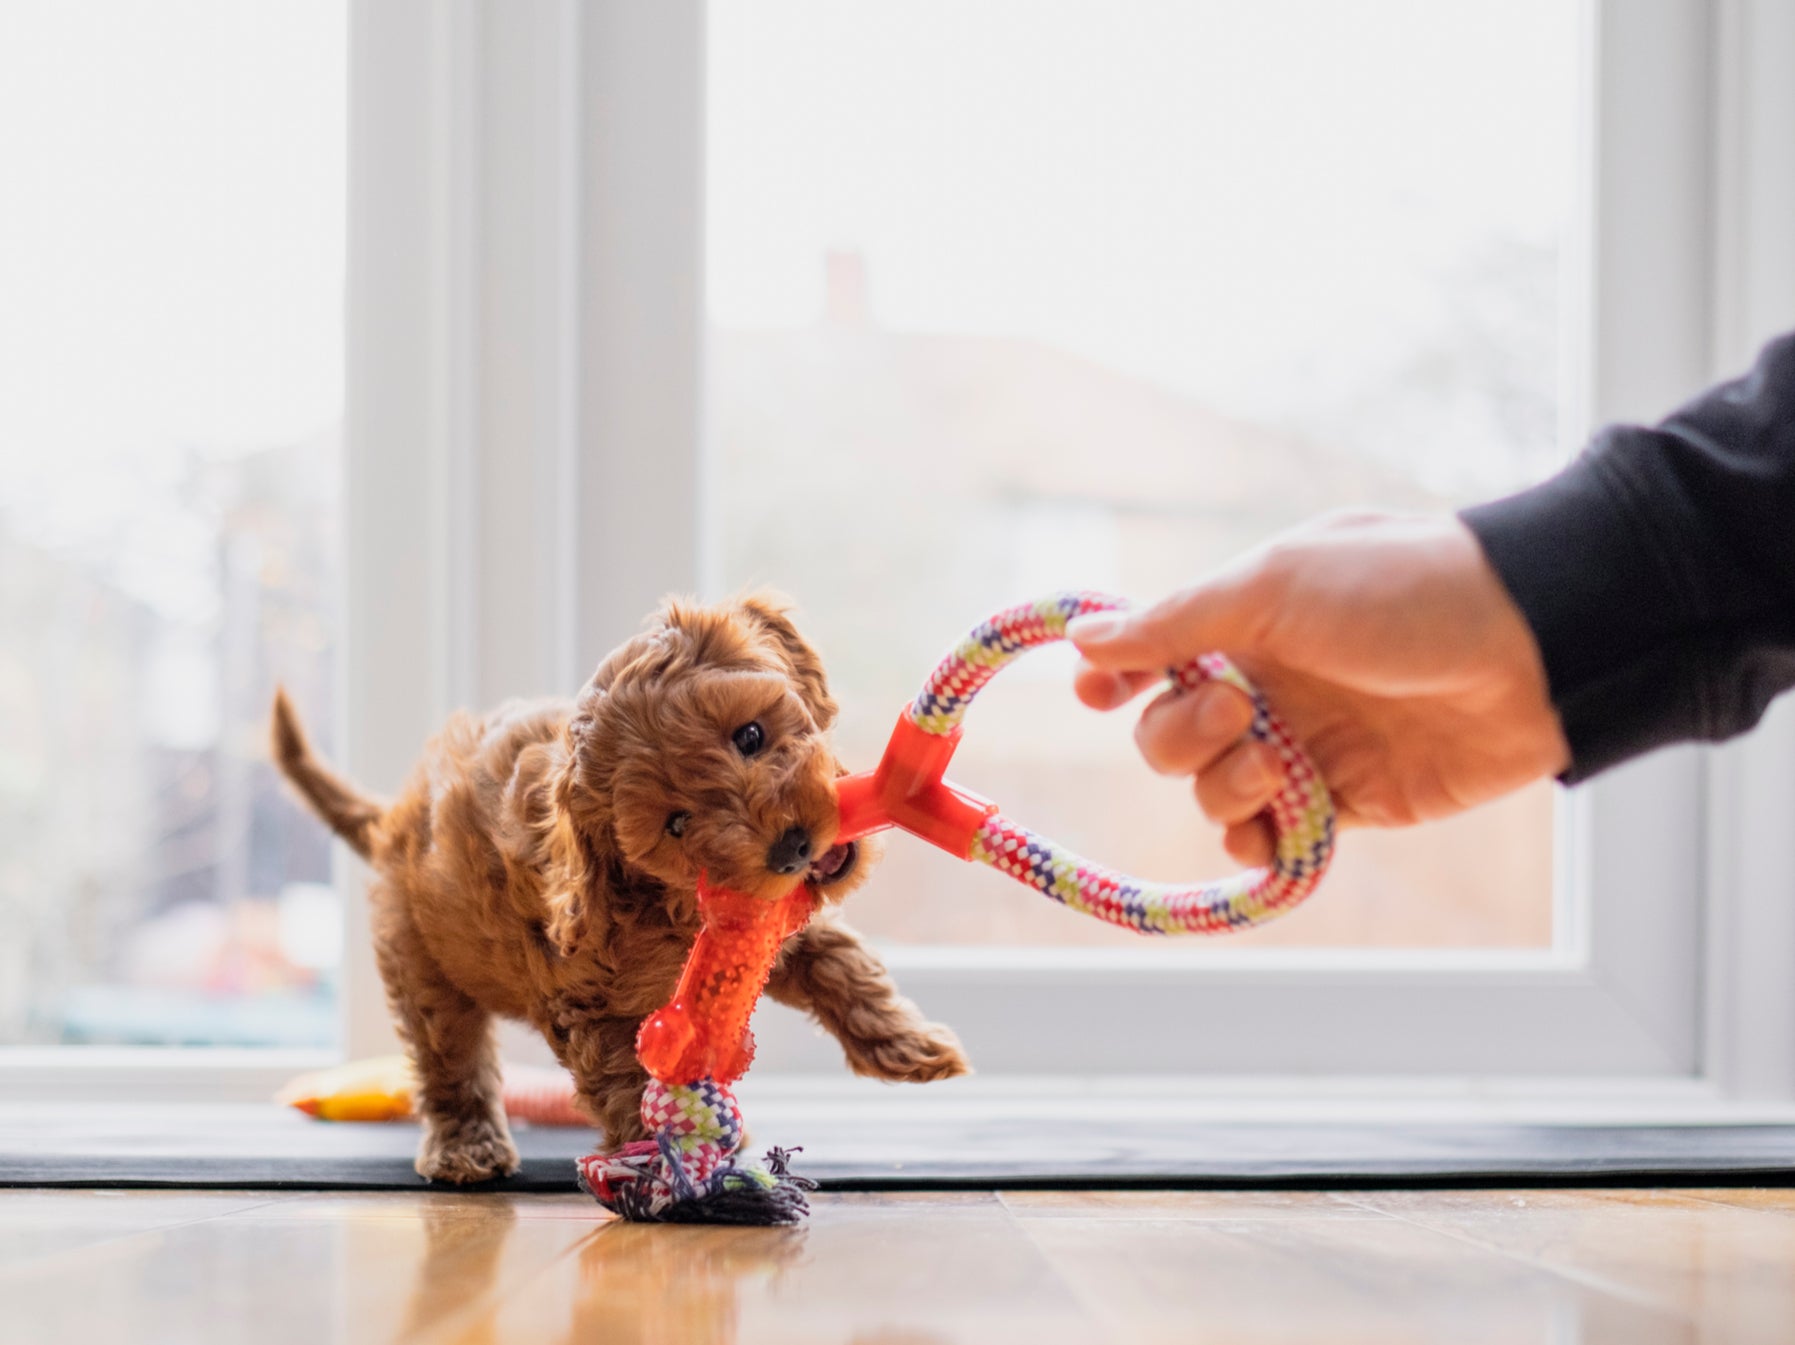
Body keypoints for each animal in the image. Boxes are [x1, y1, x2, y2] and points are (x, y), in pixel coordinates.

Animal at [269, 592, 969, 1177]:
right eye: (677, 824)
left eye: (749, 735)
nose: (790, 846)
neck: (671, 899)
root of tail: (395, 817)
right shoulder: (591, 1004)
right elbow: (626, 1078)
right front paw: (668, 1163)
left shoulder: (779, 927)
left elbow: (842, 967)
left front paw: (910, 1046)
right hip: (422, 960)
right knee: (449, 1059)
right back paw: (466, 1147)